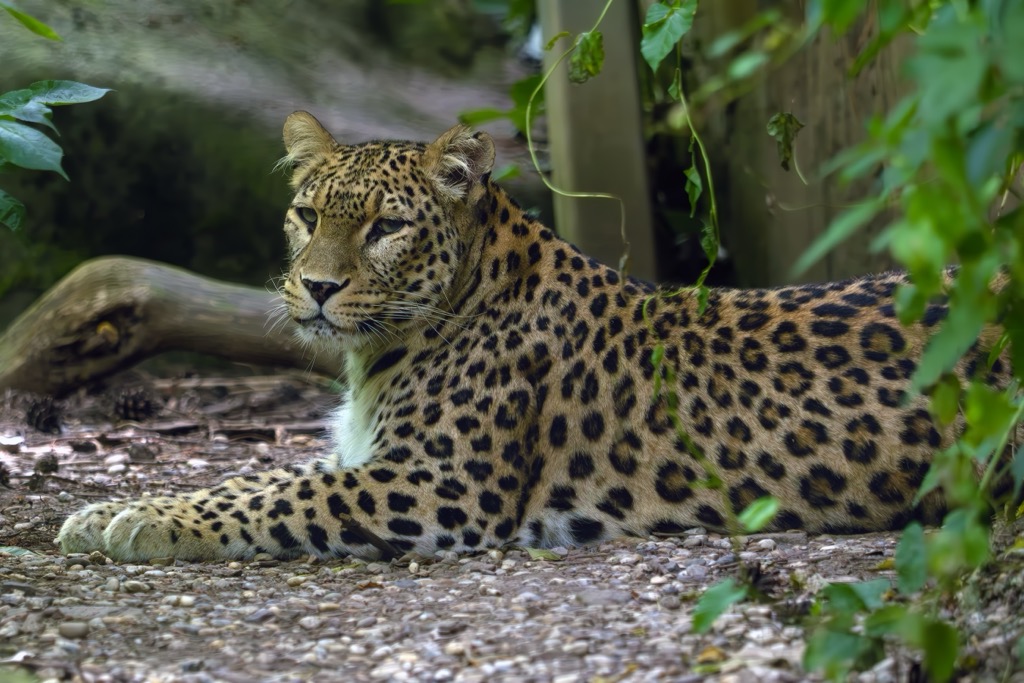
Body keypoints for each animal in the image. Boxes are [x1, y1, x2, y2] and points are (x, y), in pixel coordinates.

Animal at [56, 111, 1010, 562]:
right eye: (308, 215)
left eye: (386, 228)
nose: (319, 287)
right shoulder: (366, 454)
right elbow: (252, 474)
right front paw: (113, 507)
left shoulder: (437, 484)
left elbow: (275, 497)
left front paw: (142, 520)